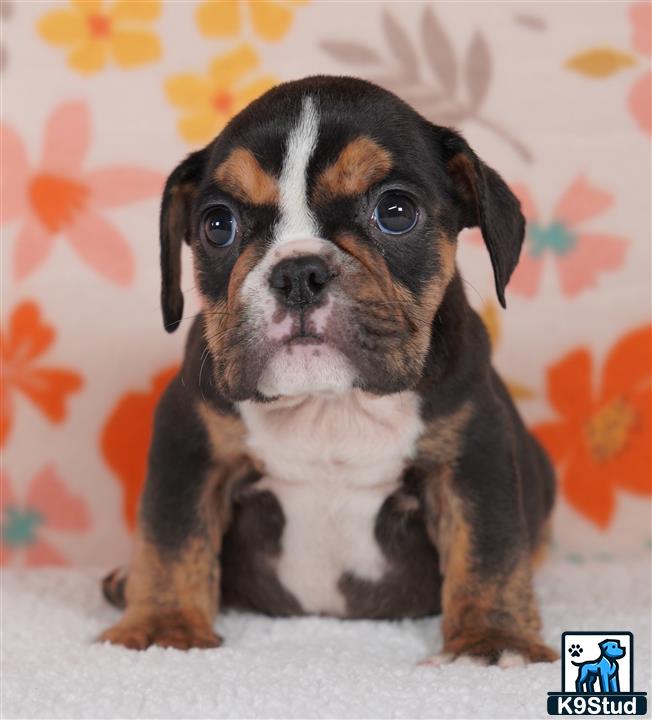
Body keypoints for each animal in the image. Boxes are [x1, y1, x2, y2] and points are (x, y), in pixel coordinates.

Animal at [100, 76, 556, 668]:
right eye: (218, 225)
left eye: (396, 211)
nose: (298, 272)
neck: (329, 405)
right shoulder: (191, 443)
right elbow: (171, 539)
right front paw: (164, 626)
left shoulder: (472, 454)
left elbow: (490, 549)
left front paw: (492, 641)